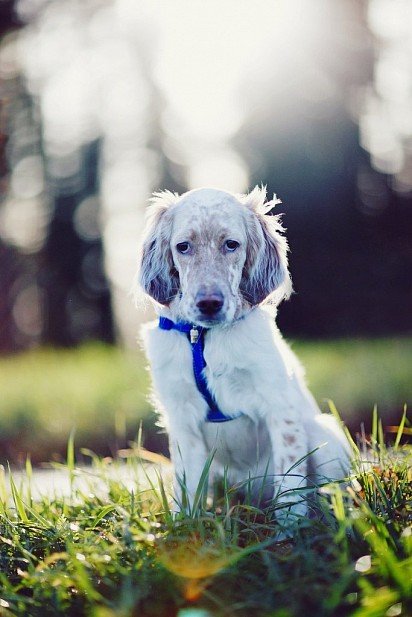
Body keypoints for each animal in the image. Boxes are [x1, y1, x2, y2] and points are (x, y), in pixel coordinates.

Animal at [138, 185, 350, 524]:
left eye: (231, 244)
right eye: (183, 246)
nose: (209, 303)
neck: (204, 339)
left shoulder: (280, 408)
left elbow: (290, 486)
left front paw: (290, 531)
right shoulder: (182, 419)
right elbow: (187, 490)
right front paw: (185, 529)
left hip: (323, 435)